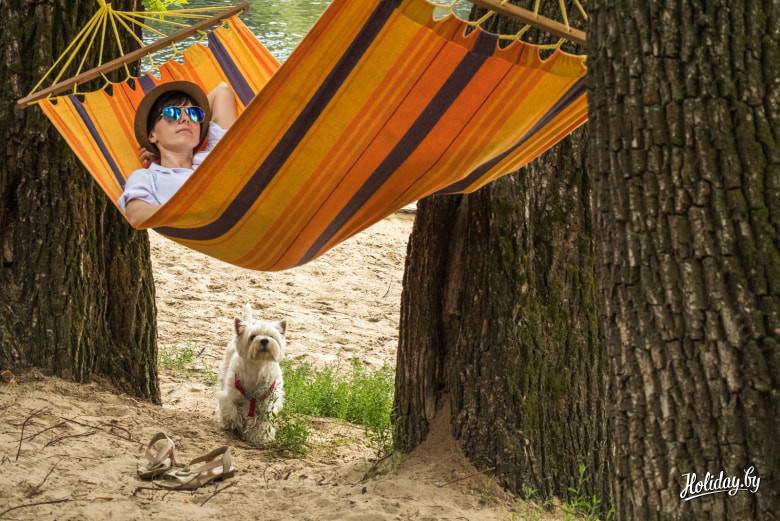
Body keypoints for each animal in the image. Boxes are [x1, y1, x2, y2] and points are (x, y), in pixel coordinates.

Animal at [217, 304, 286, 445]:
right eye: (252, 337)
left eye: (272, 336)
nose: (264, 340)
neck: (257, 367)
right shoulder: (231, 396)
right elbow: (232, 411)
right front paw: (235, 426)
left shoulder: (269, 403)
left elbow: (263, 421)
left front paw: (261, 437)